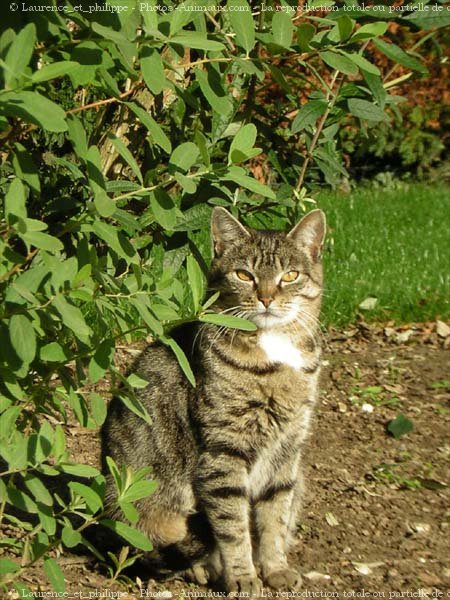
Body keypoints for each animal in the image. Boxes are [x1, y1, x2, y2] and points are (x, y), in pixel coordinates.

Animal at [101, 207, 326, 596]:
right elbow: (233, 526)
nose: (266, 297)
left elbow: (275, 516)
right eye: (244, 275)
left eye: (290, 276)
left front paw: (276, 568)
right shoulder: (223, 452)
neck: (274, 351)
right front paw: (243, 576)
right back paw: (204, 568)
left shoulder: (287, 452)